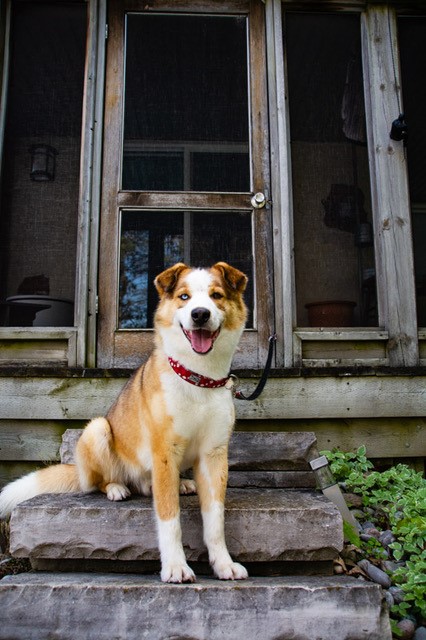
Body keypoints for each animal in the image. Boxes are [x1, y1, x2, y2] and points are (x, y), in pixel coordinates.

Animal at [0, 262, 249, 583]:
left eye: (216, 295)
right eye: (184, 297)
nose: (200, 314)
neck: (198, 378)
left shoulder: (214, 455)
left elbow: (215, 520)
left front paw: (223, 563)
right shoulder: (164, 453)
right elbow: (169, 518)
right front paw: (175, 566)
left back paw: (180, 484)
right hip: (98, 430)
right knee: (100, 481)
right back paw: (116, 488)